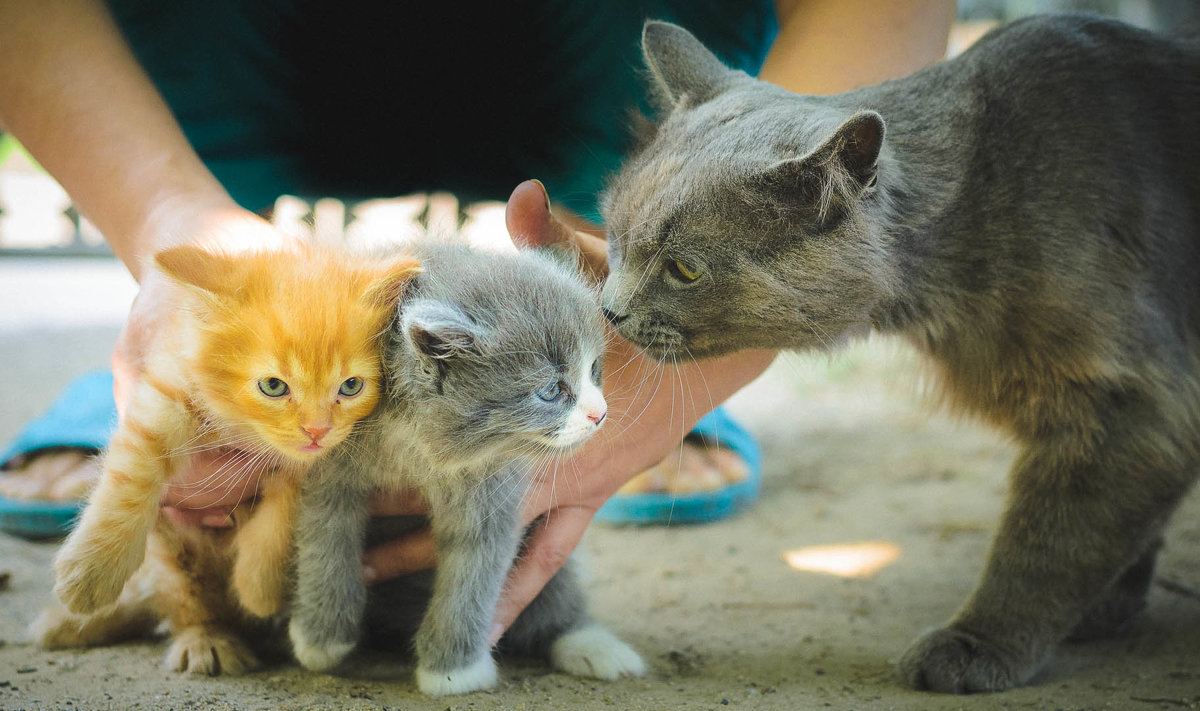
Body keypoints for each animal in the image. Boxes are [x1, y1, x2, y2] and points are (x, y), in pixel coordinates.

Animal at [288, 241, 648, 696]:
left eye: (595, 370)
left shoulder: (492, 488)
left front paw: (453, 670)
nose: (599, 414)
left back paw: (590, 643)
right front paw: (320, 636)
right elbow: (326, 538)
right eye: (552, 391)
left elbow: (473, 571)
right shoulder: (329, 464)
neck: (417, 443)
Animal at [604, 16, 1200, 696]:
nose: (610, 310)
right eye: (615, 235)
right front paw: (1108, 605)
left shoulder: (1131, 399)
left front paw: (979, 643)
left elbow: (1049, 540)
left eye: (684, 269)